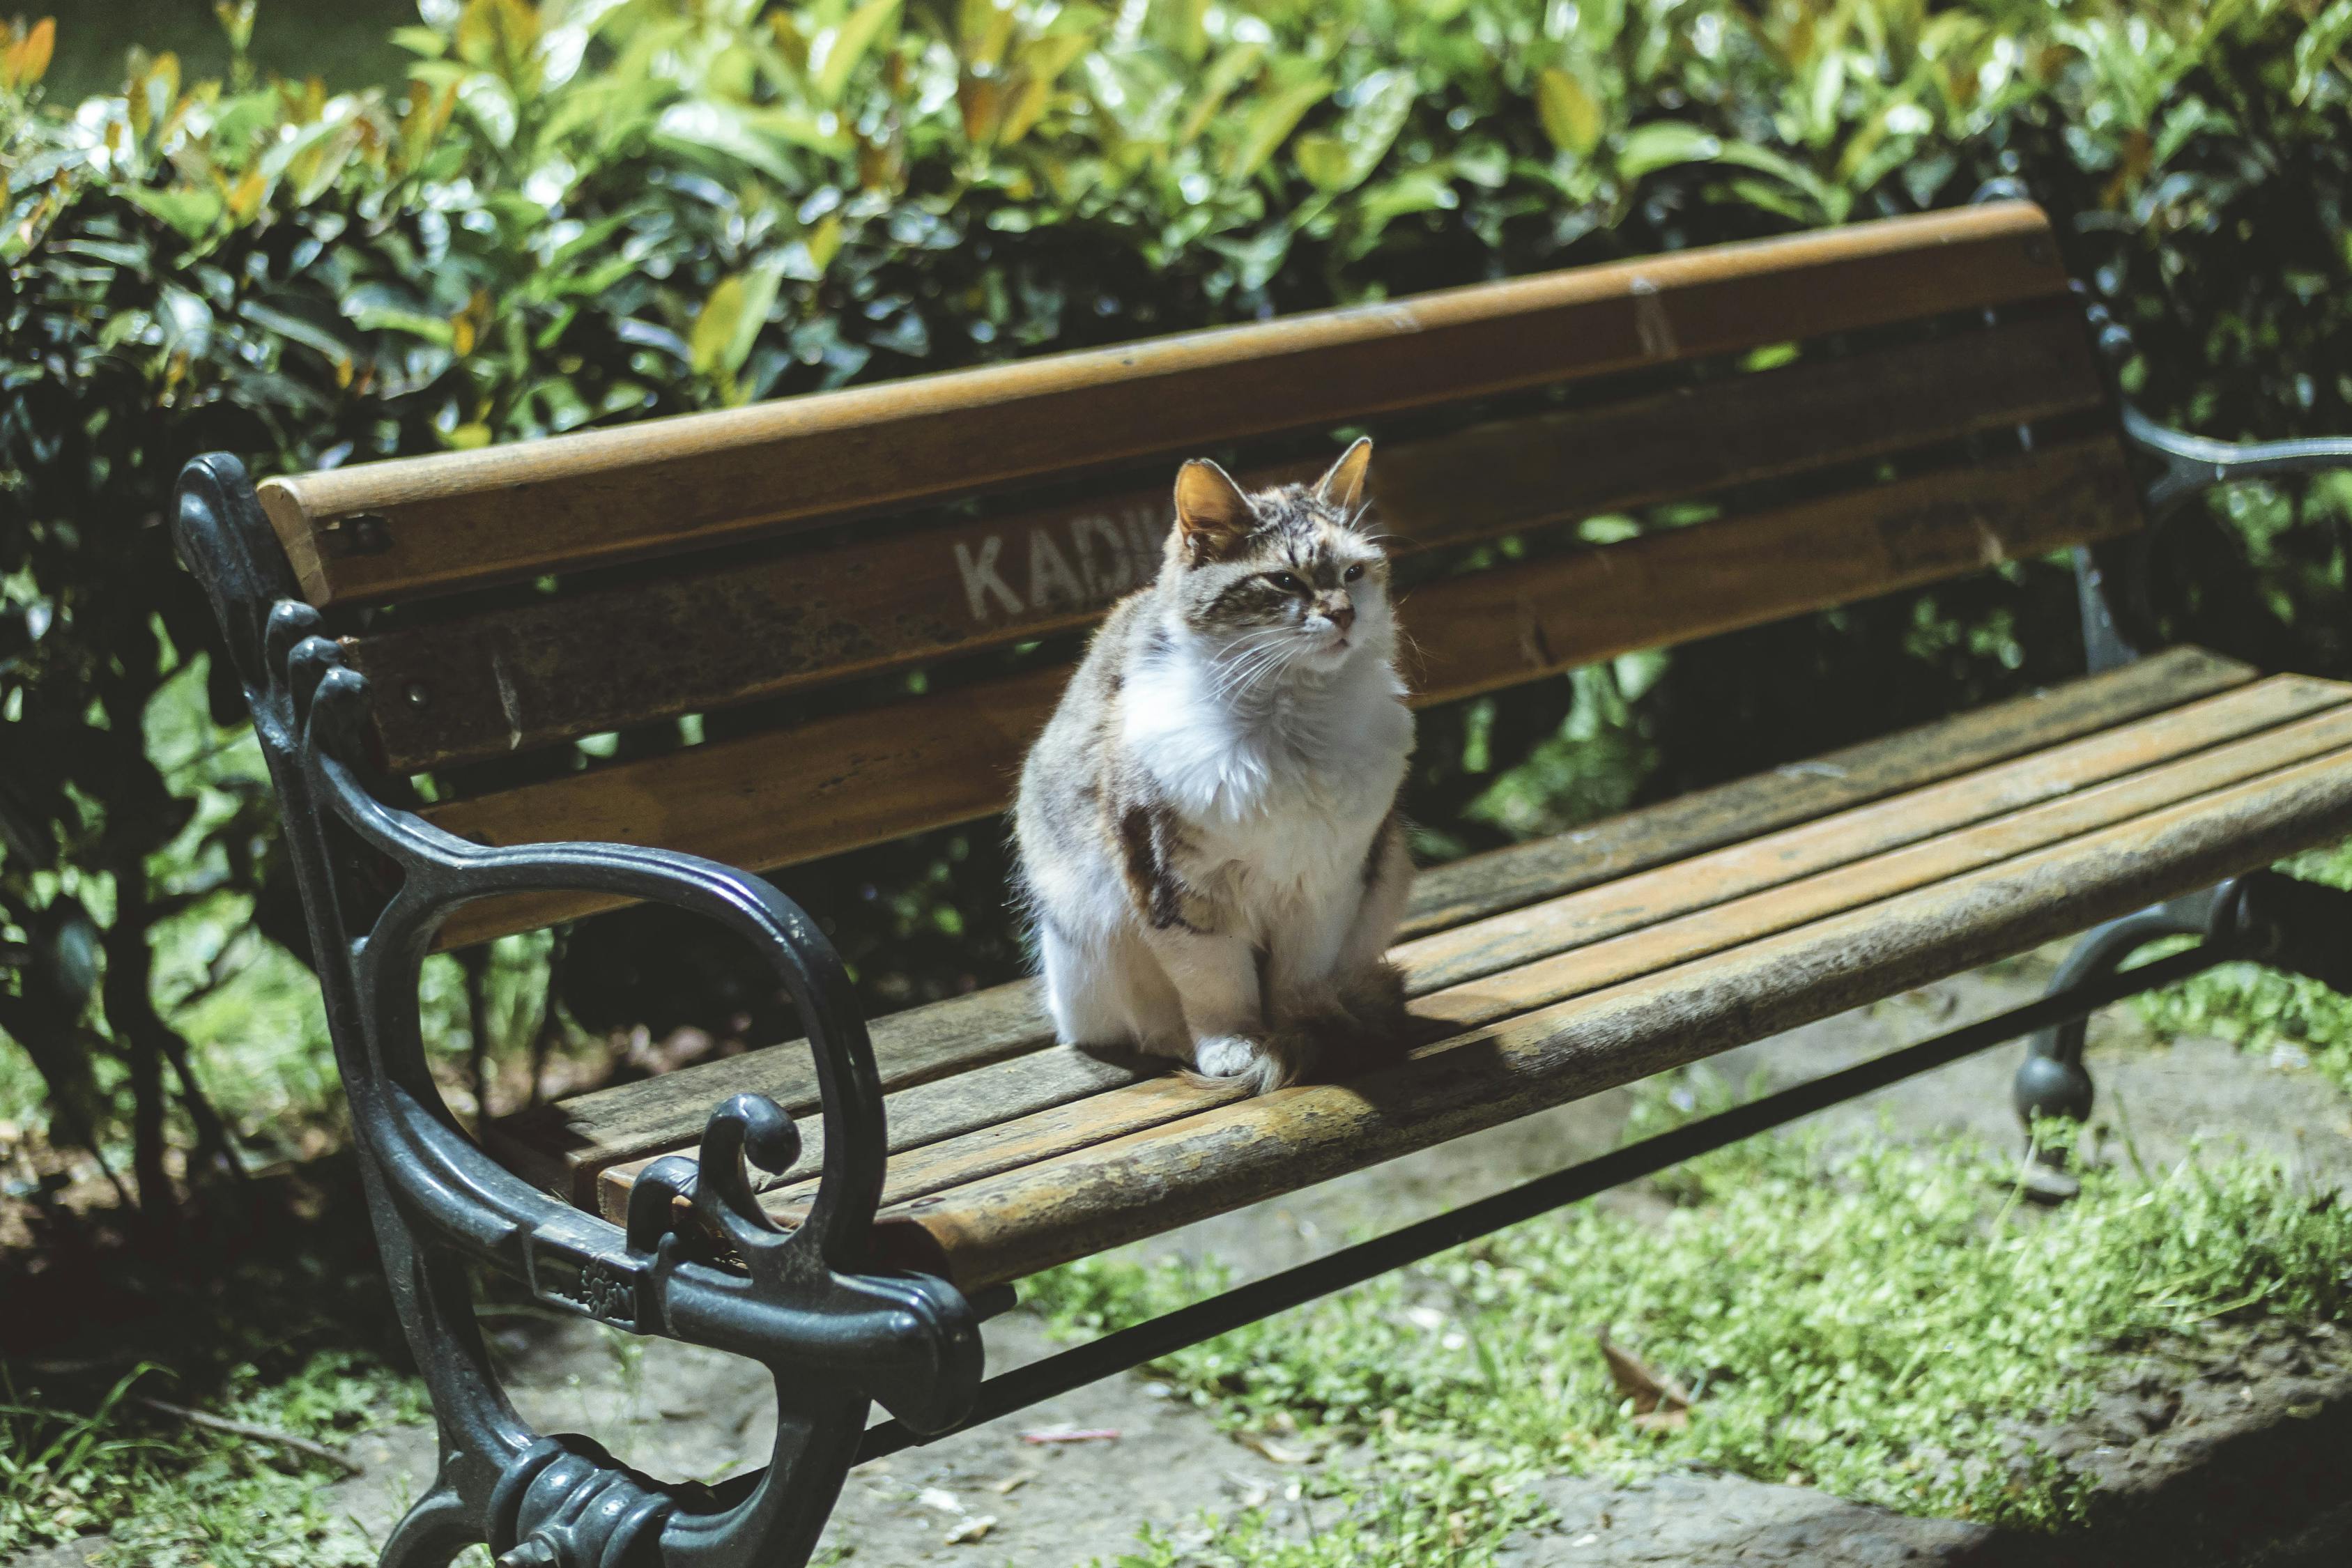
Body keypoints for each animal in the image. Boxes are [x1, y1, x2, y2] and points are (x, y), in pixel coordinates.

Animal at [1011, 435, 1411, 1100]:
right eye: (1284, 580)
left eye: (1353, 573)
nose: (1344, 614)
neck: (1289, 724)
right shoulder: (1178, 888)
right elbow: (1220, 989)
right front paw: (1236, 1052)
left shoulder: (1326, 883)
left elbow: (1298, 982)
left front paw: (1313, 1031)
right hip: (1088, 938)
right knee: (1143, 1026)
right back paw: (1176, 1044)